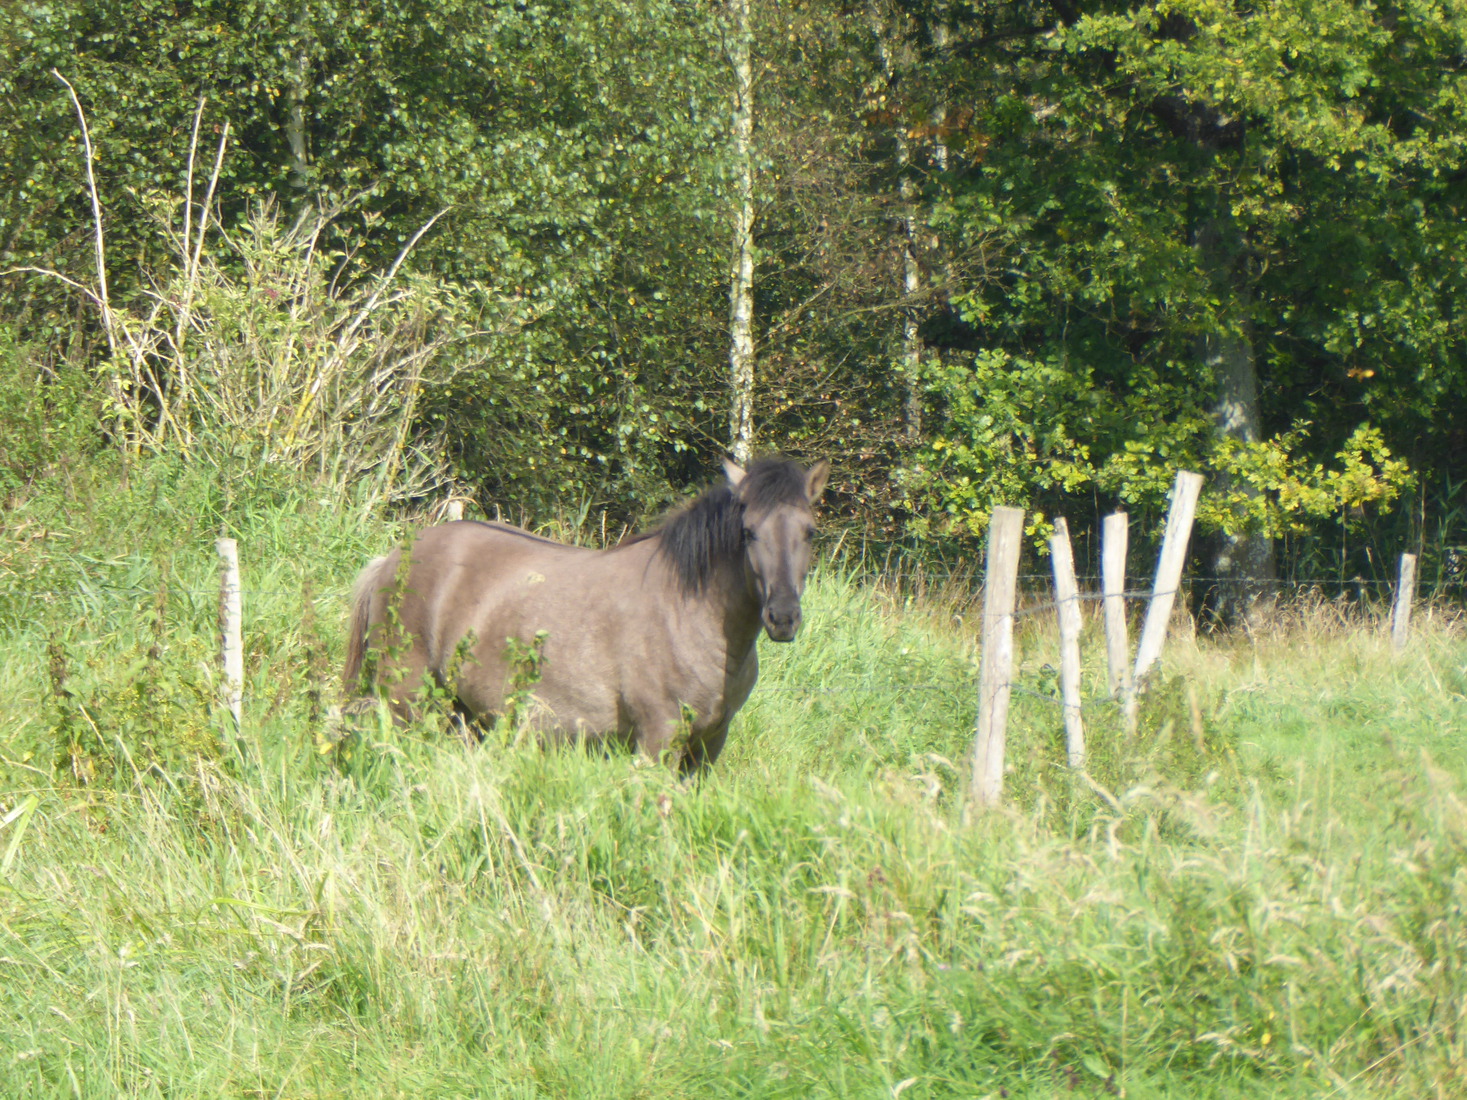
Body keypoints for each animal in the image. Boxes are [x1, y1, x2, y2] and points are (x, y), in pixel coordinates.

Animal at [342, 456, 829, 772]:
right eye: (748, 532)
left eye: (809, 531)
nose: (783, 617)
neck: (688, 613)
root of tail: (393, 559)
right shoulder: (658, 738)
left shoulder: (709, 745)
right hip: (406, 701)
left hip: (462, 711)